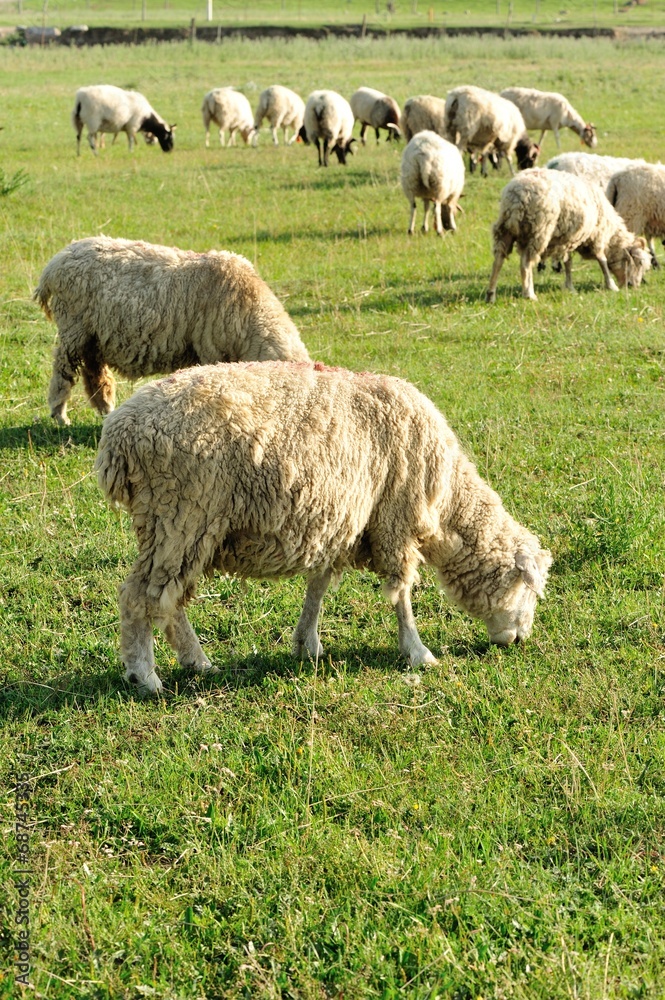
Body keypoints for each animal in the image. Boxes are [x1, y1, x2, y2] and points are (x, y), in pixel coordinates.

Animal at [34, 236, 311, 426]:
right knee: (63, 371)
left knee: (95, 374)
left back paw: (106, 410)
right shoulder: (212, 351)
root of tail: (55, 262)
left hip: (94, 337)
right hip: (73, 328)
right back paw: (60, 415)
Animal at [95, 360, 552, 695]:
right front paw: (417, 651)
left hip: (180, 527)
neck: (448, 506)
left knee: (169, 601)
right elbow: (402, 595)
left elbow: (318, 587)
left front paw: (306, 644)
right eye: (528, 590)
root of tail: (119, 435)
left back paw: (198, 662)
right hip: (180, 514)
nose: (520, 640)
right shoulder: (395, 521)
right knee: (140, 597)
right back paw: (145, 676)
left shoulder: (340, 523)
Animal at [485, 167, 651, 302]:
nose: (633, 286)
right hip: (539, 230)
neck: (611, 237)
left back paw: (491, 294)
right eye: (639, 263)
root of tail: (517, 193)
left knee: (499, 260)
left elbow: (567, 263)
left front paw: (570, 287)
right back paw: (529, 294)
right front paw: (611, 285)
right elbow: (602, 261)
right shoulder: (596, 236)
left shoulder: (568, 239)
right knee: (525, 263)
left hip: (506, 229)